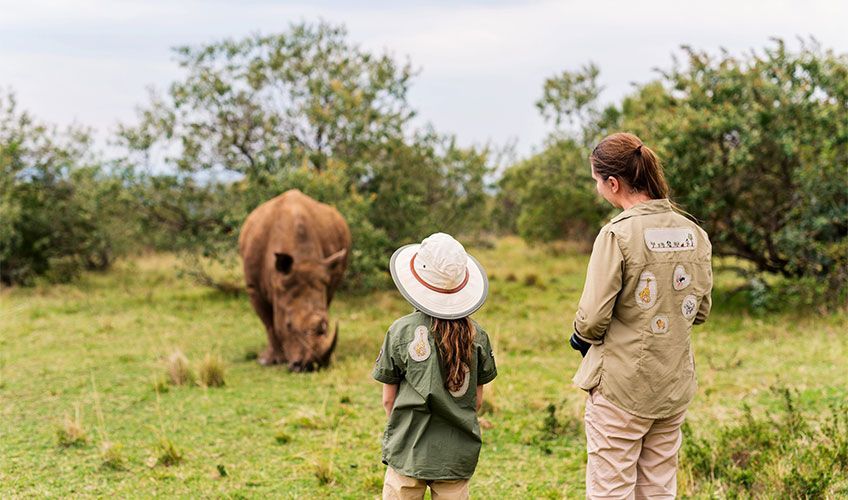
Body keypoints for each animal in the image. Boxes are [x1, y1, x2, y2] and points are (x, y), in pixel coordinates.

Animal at [238, 190, 351, 372]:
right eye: (288, 324)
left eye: (326, 324)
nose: (310, 365)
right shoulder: (253, 286)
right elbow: (269, 323)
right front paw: (270, 360)